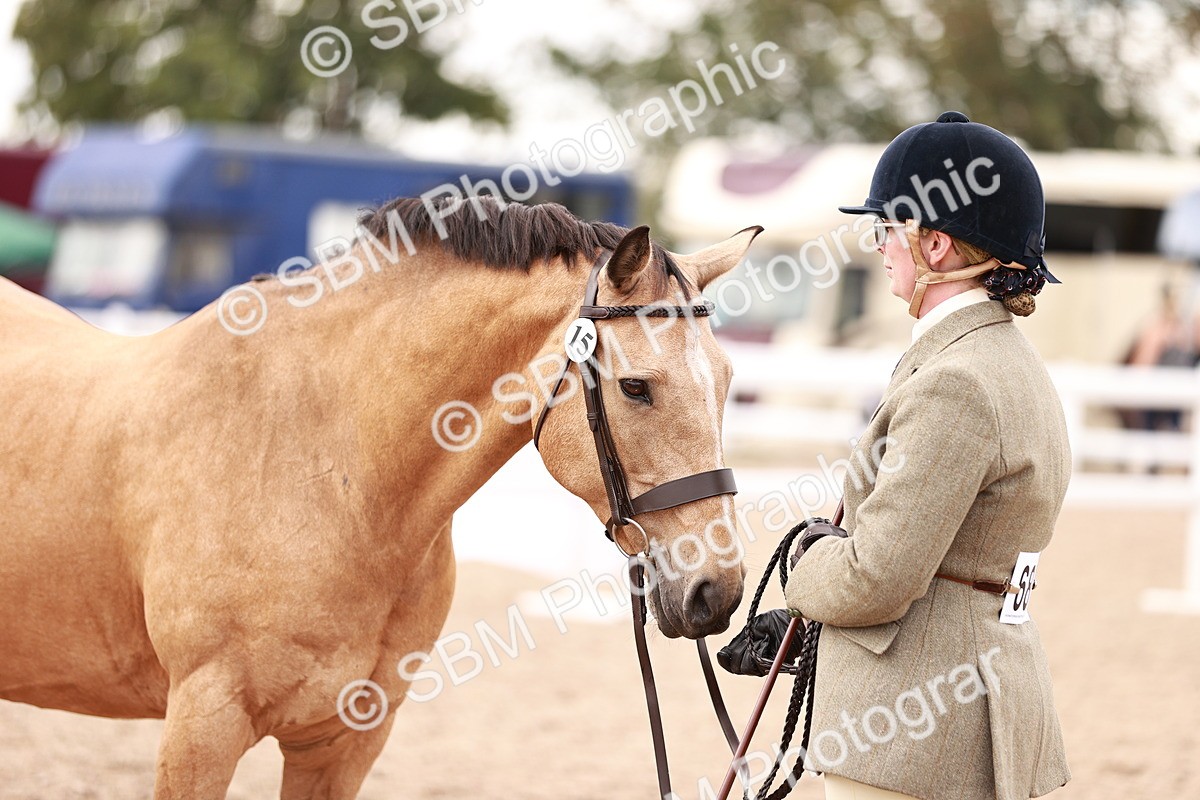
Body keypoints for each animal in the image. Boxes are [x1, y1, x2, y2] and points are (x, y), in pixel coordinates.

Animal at [0, 195, 759, 798]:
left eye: (727, 381)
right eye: (636, 387)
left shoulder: (347, 740)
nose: (715, 590)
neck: (331, 479)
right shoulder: (201, 728)